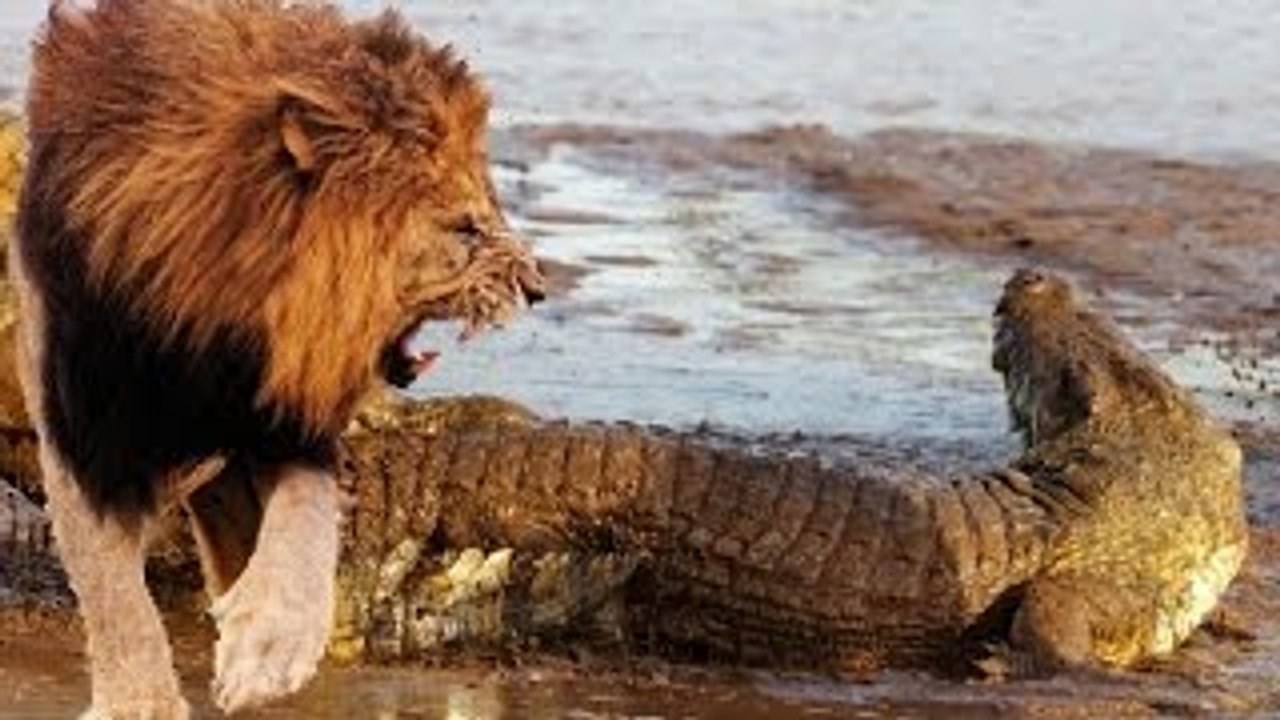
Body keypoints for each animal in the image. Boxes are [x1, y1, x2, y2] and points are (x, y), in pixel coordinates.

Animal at [12, 1, 544, 717]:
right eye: (464, 227)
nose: (538, 288)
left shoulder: (285, 419)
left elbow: (304, 526)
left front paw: (266, 651)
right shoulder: (86, 435)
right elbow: (117, 599)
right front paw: (142, 700)